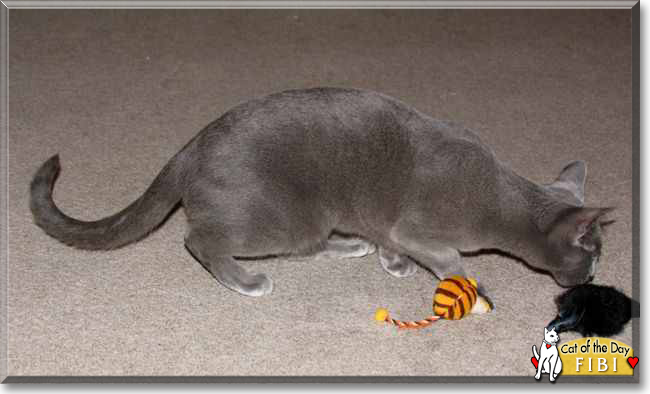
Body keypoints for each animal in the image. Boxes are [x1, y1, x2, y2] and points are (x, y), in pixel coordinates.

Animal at [29, 87, 608, 302]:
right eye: (593, 255)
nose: (592, 279)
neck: (503, 198)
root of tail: (190, 147)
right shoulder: (420, 227)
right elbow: (447, 258)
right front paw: (474, 285)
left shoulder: (387, 221)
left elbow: (392, 241)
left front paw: (393, 263)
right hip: (283, 216)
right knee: (199, 241)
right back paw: (246, 280)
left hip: (319, 213)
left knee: (312, 242)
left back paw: (353, 247)